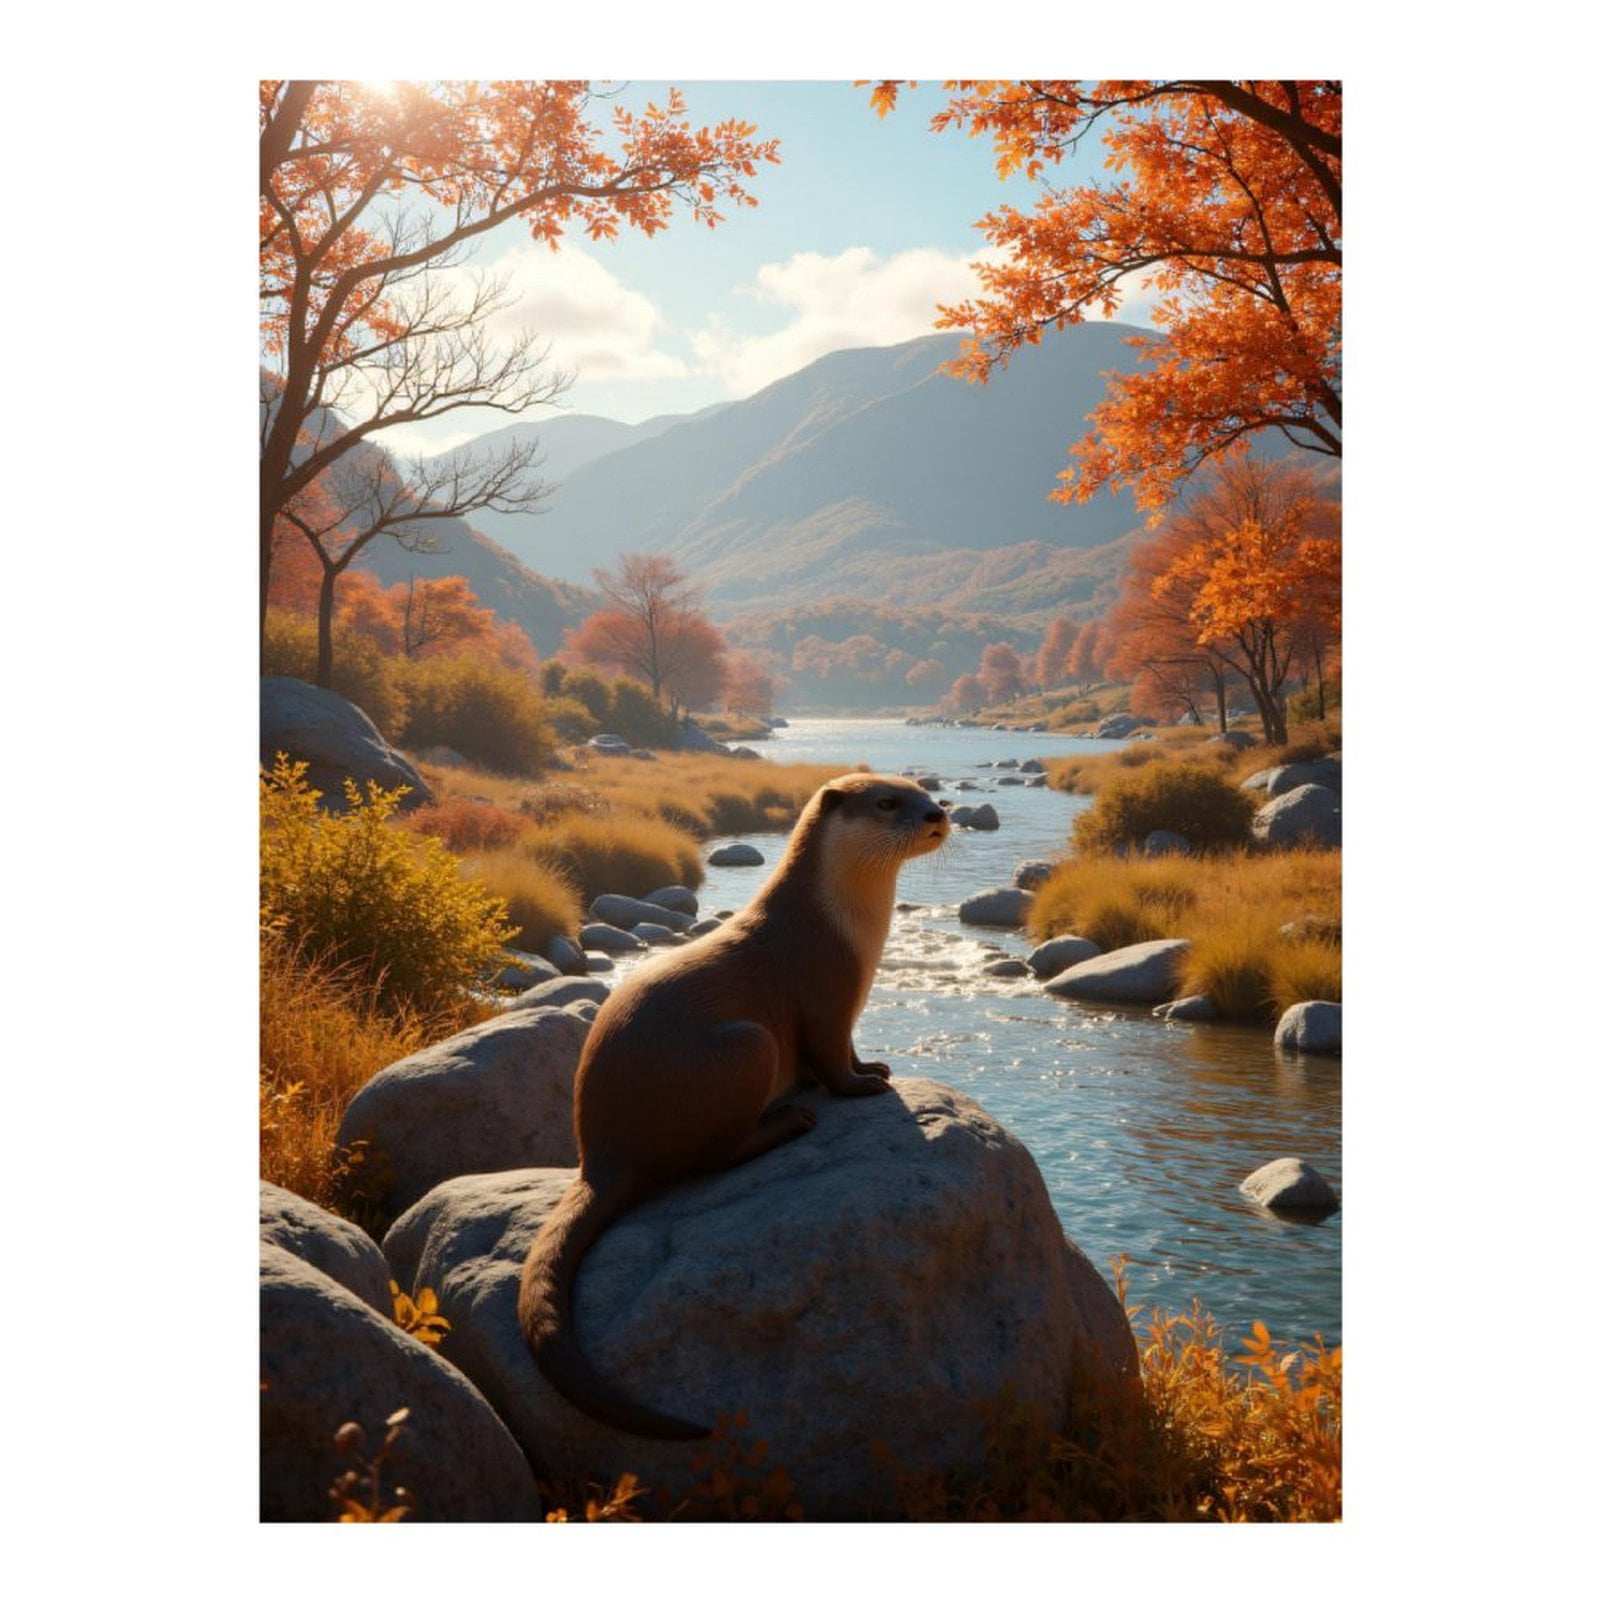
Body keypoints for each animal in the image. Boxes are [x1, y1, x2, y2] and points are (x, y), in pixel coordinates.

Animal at [516, 772, 950, 1440]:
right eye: (888, 802)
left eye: (926, 789)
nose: (937, 814)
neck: (844, 928)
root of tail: (600, 1151)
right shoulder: (825, 992)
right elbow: (830, 1060)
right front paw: (861, 1087)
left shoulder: (848, 1007)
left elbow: (849, 1049)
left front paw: (875, 1066)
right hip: (747, 1046)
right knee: (714, 1156)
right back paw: (788, 1122)